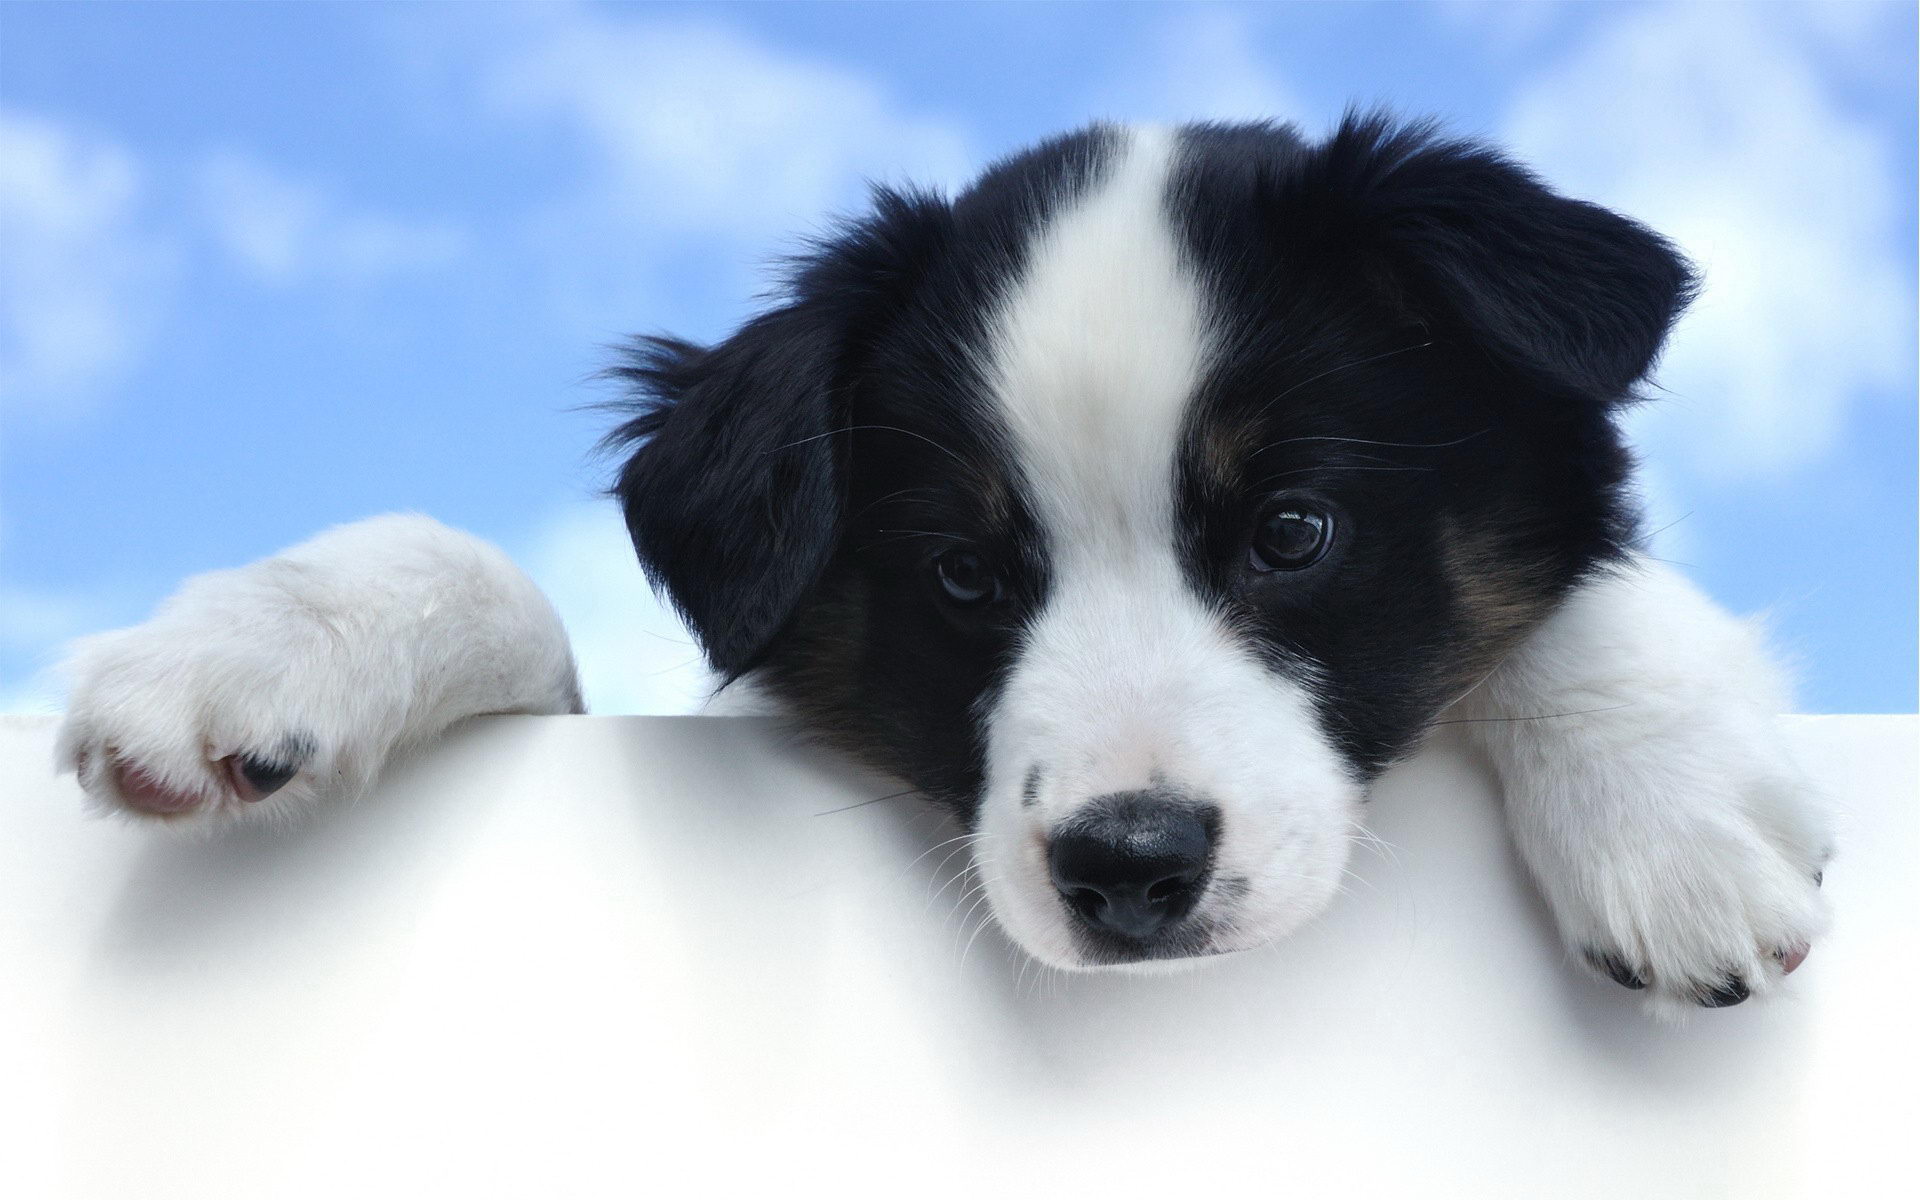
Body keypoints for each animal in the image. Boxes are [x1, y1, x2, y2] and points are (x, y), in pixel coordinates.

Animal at [60, 112, 1827, 1013]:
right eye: (967, 578)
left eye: (1292, 531)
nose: (1128, 871)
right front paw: (260, 637)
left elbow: (1584, 598)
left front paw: (1670, 822)